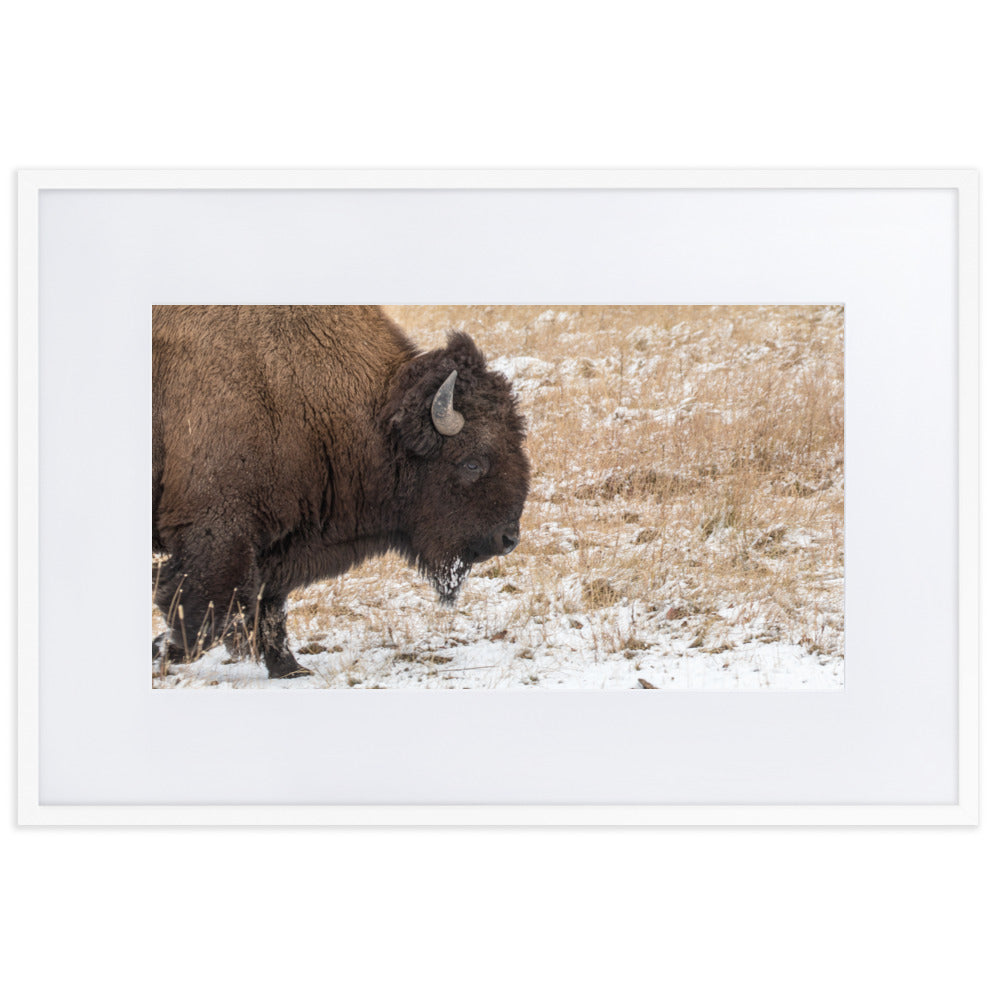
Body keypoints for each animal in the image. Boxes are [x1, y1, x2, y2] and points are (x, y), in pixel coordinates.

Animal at [152, 305, 529, 678]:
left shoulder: (276, 546)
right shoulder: (220, 530)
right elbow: (205, 611)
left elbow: (268, 604)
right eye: (472, 463)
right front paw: (163, 649)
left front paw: (291, 669)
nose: (508, 539)